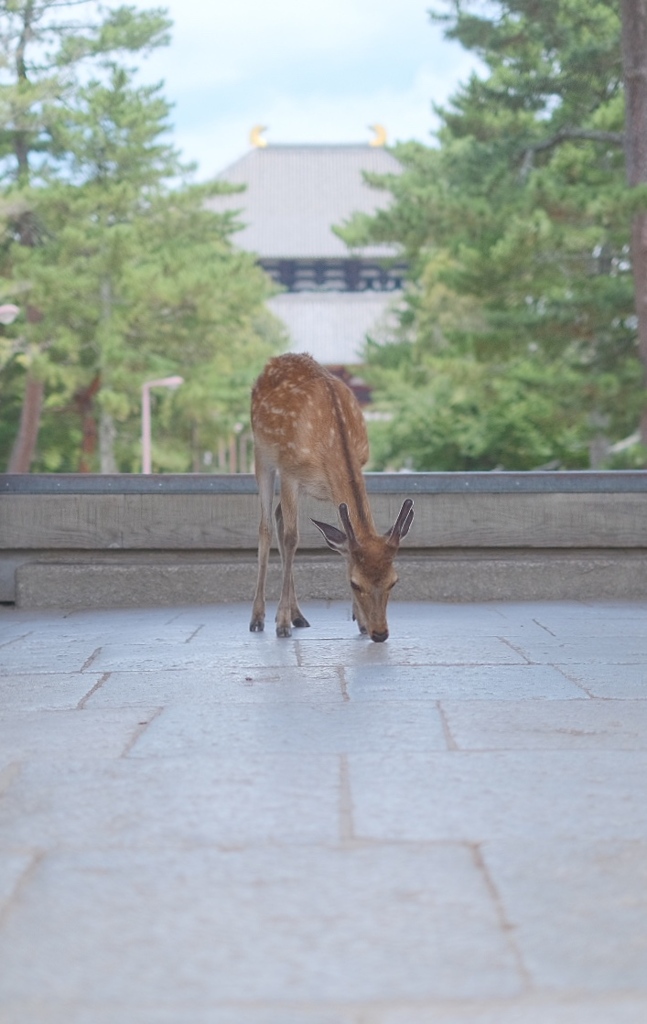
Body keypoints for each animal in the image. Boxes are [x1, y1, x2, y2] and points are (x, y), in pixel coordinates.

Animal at [247, 352, 413, 638]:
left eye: (394, 581)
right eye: (355, 584)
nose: (380, 633)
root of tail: (274, 360)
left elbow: (344, 542)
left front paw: (359, 621)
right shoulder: (290, 471)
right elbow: (292, 539)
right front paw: (281, 624)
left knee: (278, 517)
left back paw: (298, 615)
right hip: (262, 454)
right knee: (266, 526)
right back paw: (259, 618)